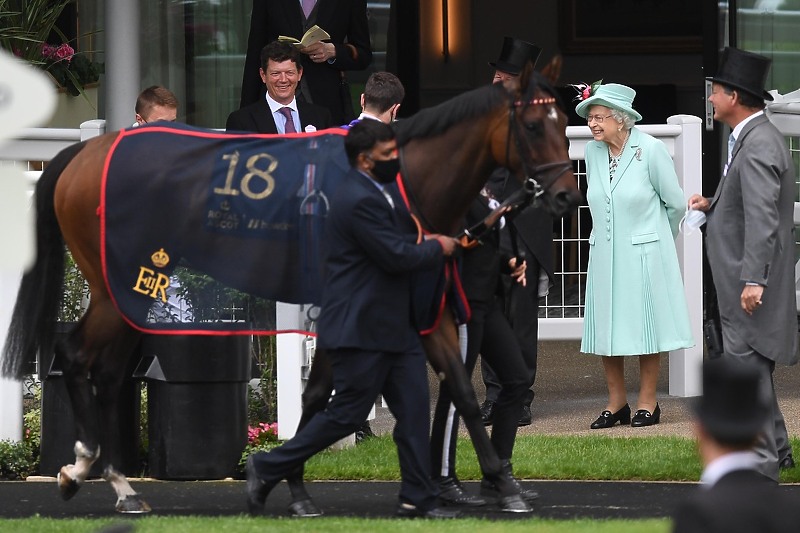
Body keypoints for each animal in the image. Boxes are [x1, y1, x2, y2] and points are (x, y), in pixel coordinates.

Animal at [0, 58, 576, 512]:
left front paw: (505, 484)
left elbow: (456, 387)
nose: (567, 194)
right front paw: (289, 482)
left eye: (560, 119)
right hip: (123, 281)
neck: (398, 184)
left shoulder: (418, 304)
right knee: (77, 355)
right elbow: (324, 396)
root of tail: (84, 154)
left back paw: (113, 481)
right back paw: (91, 472)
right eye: (531, 123)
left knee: (108, 370)